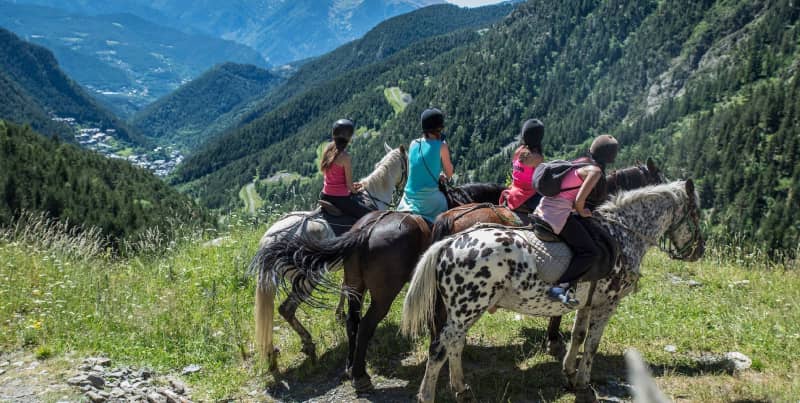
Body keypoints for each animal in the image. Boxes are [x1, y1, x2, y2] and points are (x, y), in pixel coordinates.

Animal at [404, 182, 704, 403]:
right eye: (696, 214)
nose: (699, 250)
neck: (621, 235)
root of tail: (449, 243)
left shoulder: (586, 303)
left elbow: (578, 335)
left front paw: (569, 372)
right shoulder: (607, 305)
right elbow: (592, 344)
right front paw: (583, 382)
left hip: (464, 311)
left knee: (455, 344)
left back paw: (461, 388)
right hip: (466, 310)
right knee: (439, 347)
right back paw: (427, 395)